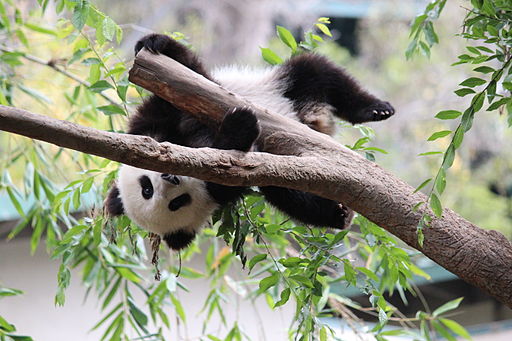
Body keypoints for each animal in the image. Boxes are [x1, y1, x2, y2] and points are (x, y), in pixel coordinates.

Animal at [103, 32, 392, 250]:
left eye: (146, 187)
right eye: (175, 203)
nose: (170, 177)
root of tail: (315, 121)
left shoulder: (148, 127)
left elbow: (187, 82)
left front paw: (157, 43)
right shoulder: (223, 187)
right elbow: (233, 162)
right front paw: (241, 126)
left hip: (282, 88)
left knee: (318, 73)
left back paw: (375, 109)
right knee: (292, 195)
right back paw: (338, 214)